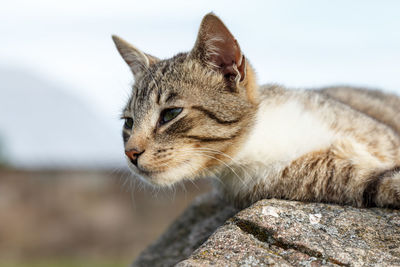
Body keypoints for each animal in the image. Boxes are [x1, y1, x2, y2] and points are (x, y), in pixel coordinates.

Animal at [111, 12, 400, 209]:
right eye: (129, 123)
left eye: (171, 113)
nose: (130, 153)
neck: (262, 137)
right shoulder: (319, 179)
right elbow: (380, 181)